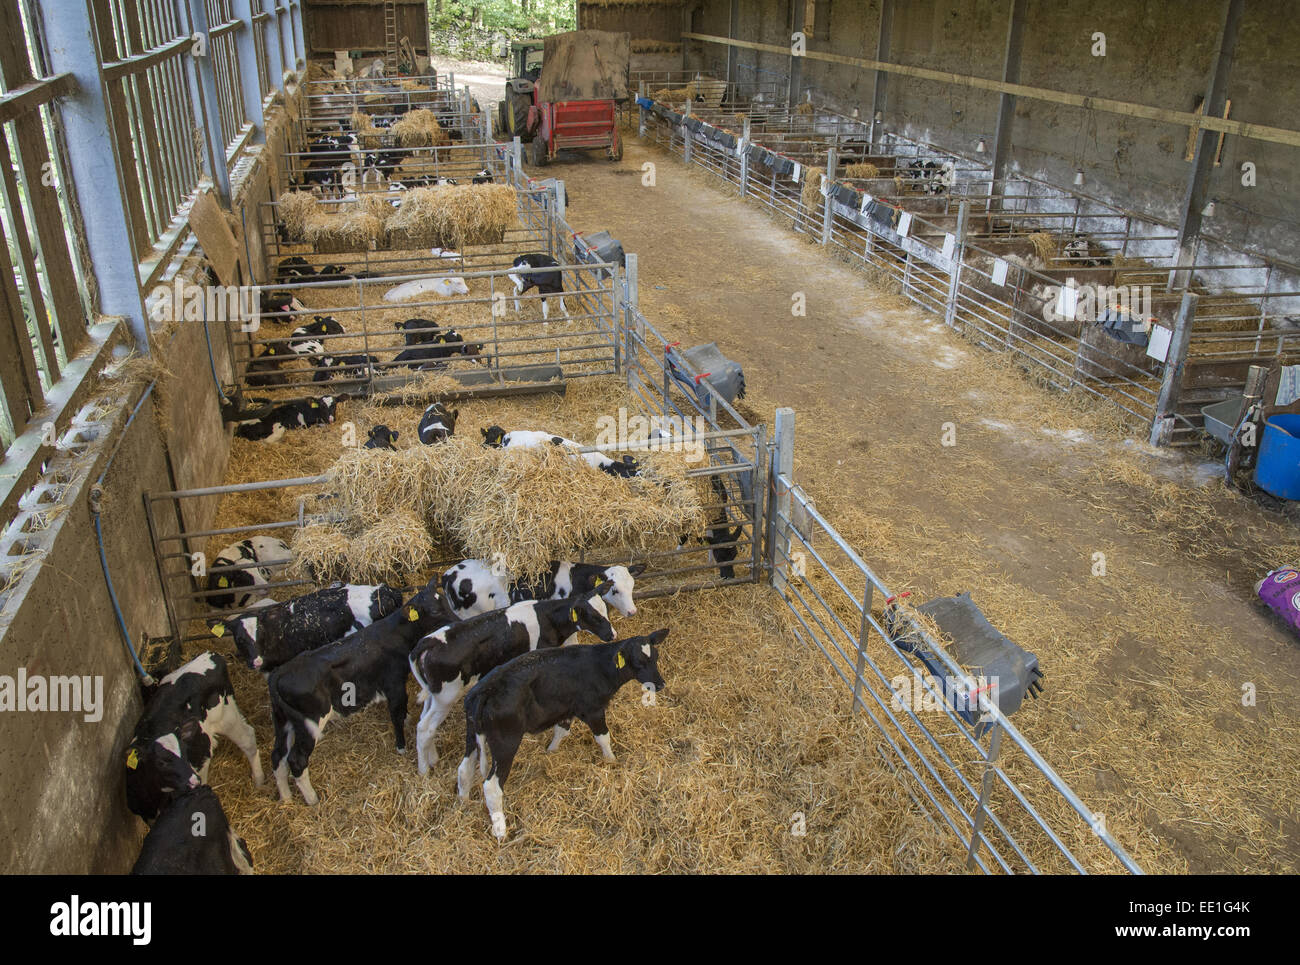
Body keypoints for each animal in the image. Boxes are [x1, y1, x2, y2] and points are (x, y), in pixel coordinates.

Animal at [122, 650, 262, 821]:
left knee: (248, 739)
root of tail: (209, 654)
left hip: (227, 717)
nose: (195, 780)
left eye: (185, 753)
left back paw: (259, 781)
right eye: (161, 762)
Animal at [266, 582, 454, 806]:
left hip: (283, 721)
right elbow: (396, 714)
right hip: (309, 723)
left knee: (277, 757)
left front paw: (408, 721)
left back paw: (285, 797)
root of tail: (279, 673)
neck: (395, 633)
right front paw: (401, 746)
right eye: (434, 611)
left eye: (445, 600)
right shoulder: (393, 684)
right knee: (296, 760)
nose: (458, 620)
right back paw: (313, 800)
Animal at [460, 632, 670, 842]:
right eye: (638, 662)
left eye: (656, 656)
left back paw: (463, 803)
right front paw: (612, 761)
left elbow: (561, 731)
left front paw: (551, 752)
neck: (600, 667)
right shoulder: (593, 709)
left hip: (472, 735)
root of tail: (485, 690)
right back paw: (500, 830)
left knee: (464, 769)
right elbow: (603, 737)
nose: (660, 684)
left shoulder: (566, 709)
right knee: (491, 786)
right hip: (505, 742)